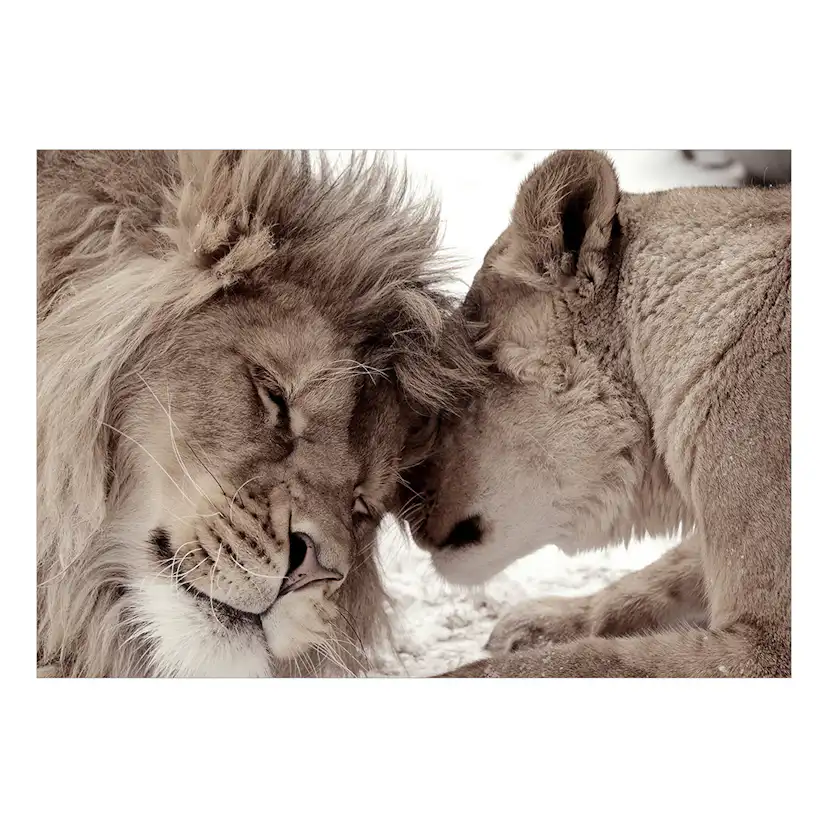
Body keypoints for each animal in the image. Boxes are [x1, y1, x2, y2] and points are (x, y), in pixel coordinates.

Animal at [407, 150, 791, 677]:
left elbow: (581, 662)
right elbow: (660, 576)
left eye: (452, 392)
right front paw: (541, 621)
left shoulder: (769, 647)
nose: (400, 504)